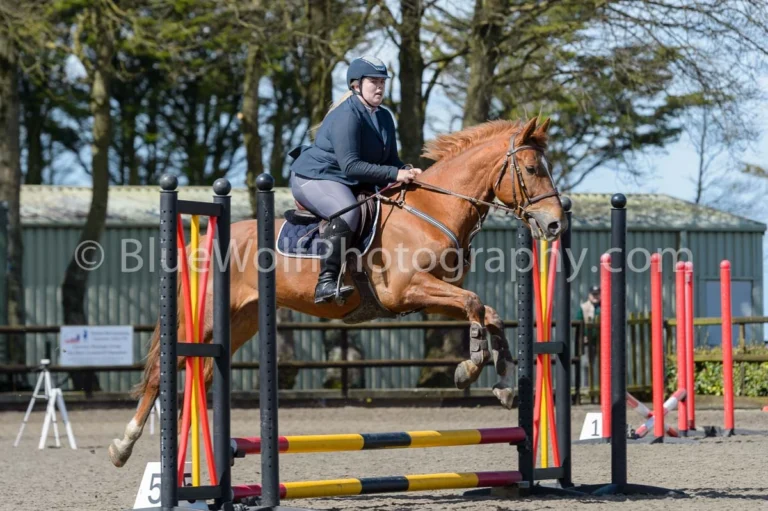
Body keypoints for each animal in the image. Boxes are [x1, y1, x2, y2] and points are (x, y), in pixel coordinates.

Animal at [106, 116, 564, 468]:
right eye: (532, 170)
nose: (556, 223)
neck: (430, 212)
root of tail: (202, 241)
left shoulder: (436, 292)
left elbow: (488, 312)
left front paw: (503, 380)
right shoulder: (407, 292)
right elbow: (475, 305)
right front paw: (469, 367)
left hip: (242, 321)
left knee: (198, 372)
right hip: (202, 320)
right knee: (161, 373)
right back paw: (124, 446)